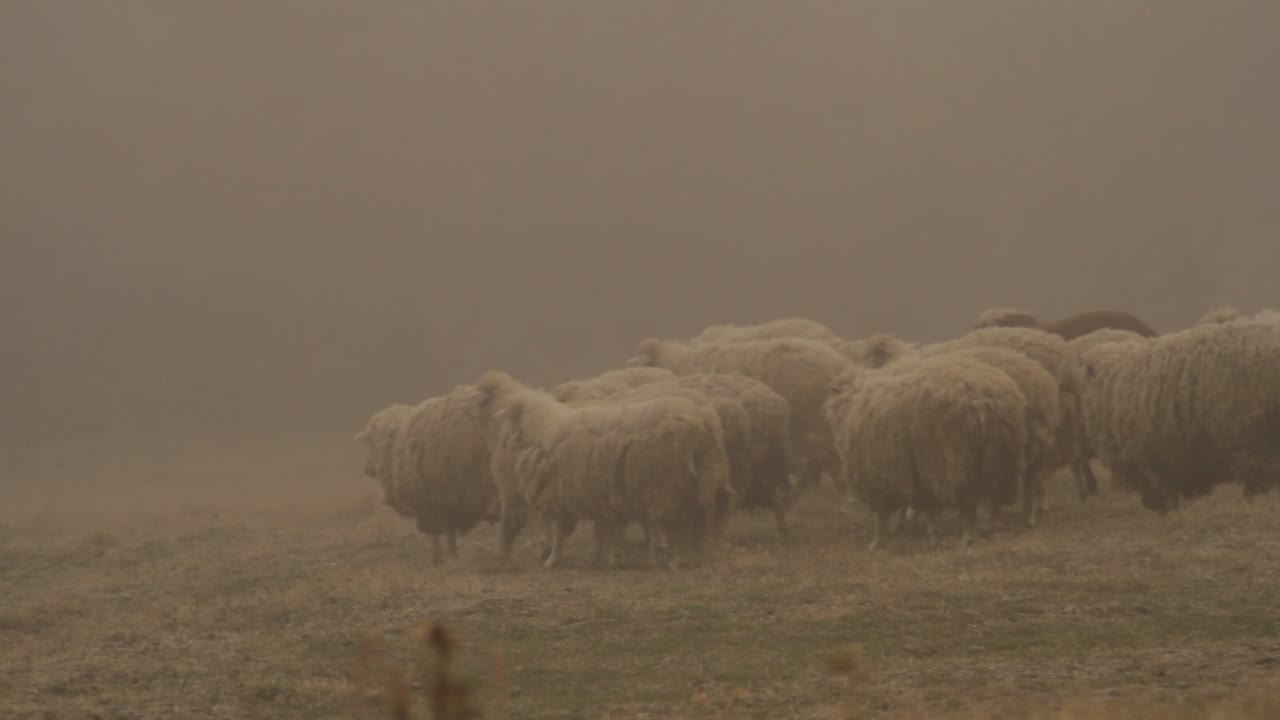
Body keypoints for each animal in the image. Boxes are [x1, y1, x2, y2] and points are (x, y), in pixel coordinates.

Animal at [354, 387, 499, 566]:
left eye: (372, 443)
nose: (367, 469)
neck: (396, 444)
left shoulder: (434, 502)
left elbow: (442, 534)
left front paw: (443, 557)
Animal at [474, 370, 731, 569]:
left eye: (509, 418)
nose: (503, 443)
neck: (544, 429)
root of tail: (704, 421)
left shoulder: (563, 495)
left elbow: (561, 533)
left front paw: (553, 559)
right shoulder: (598, 494)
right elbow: (606, 529)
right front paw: (607, 557)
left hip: (669, 485)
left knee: (680, 525)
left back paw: (676, 560)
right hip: (697, 479)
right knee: (700, 519)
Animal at [823, 355, 1028, 550]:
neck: (852, 402)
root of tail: (985, 401)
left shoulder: (877, 476)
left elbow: (882, 515)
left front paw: (878, 542)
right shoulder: (921, 472)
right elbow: (930, 507)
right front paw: (933, 534)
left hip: (958, 462)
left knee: (970, 503)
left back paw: (968, 538)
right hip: (1001, 459)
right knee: (995, 497)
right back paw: (989, 527)